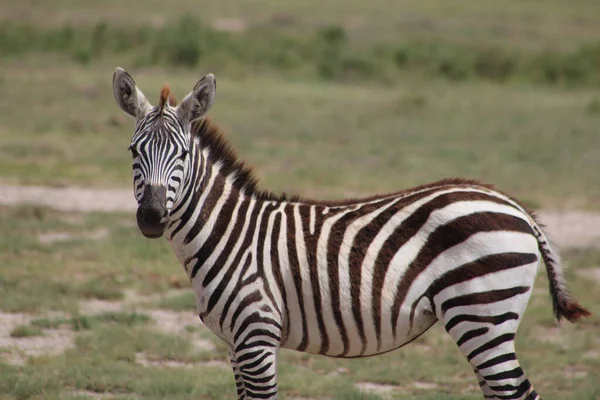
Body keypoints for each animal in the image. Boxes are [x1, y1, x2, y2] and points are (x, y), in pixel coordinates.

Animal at [112, 67, 592, 398]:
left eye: (181, 154)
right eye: (134, 151)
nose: (150, 217)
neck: (228, 234)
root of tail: (515, 206)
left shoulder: (257, 335)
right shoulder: (236, 343)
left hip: (482, 314)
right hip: (485, 321)